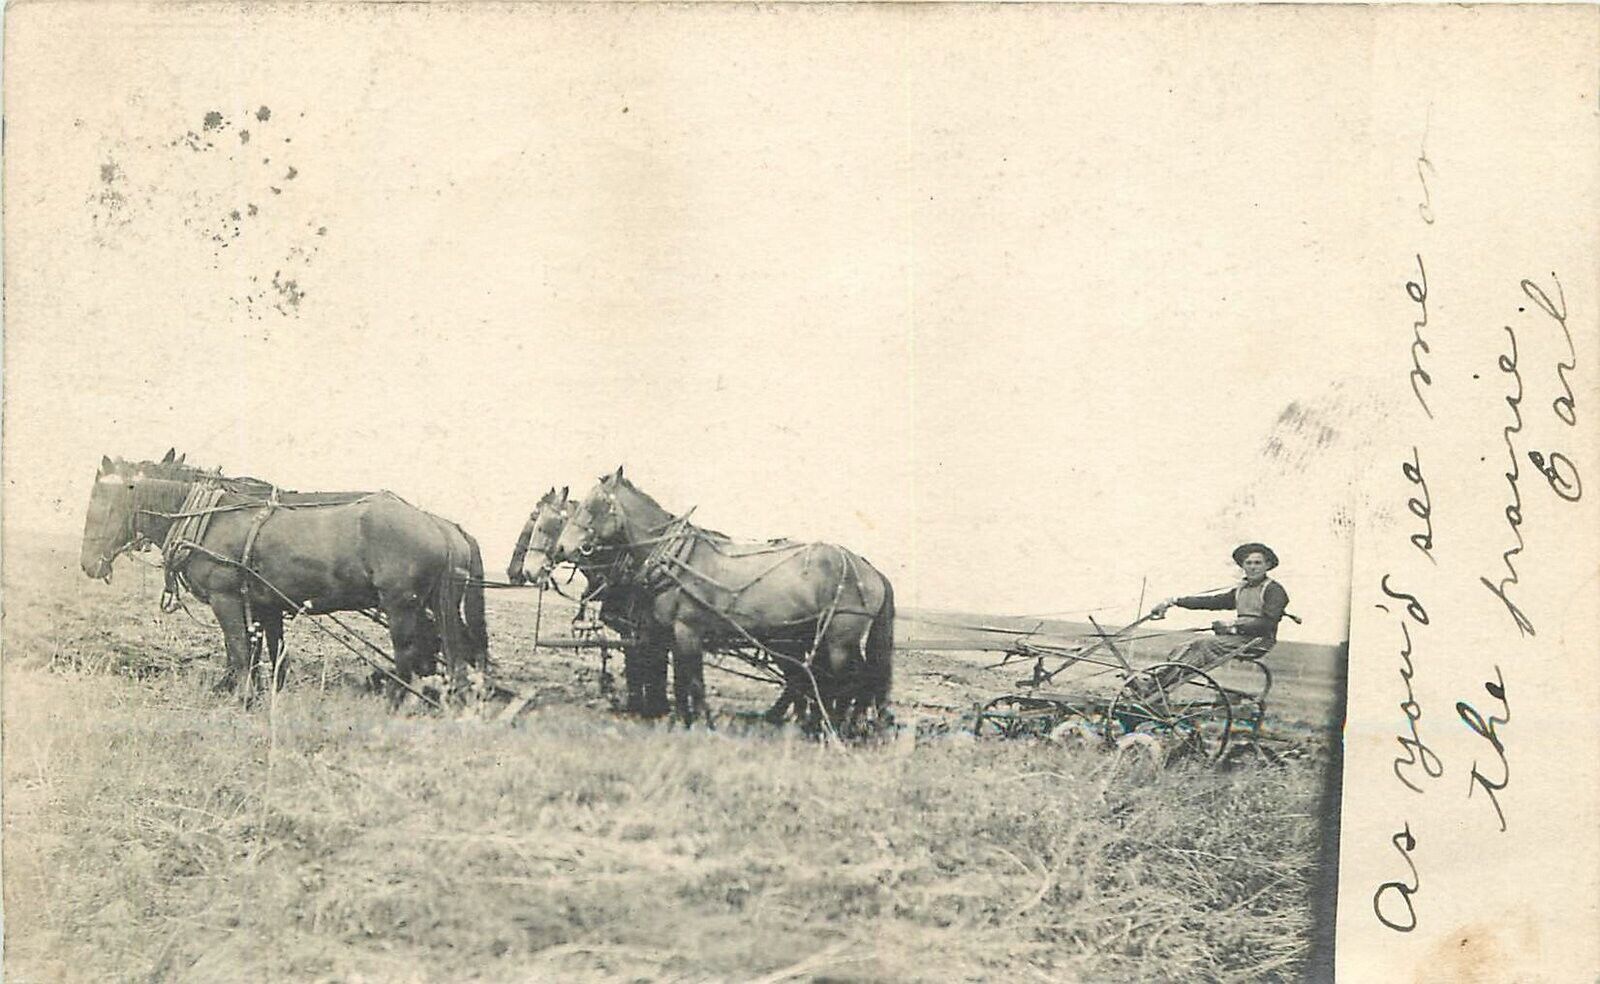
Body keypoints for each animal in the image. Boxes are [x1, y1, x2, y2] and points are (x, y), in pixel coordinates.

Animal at [80, 451, 488, 700]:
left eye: (99, 506)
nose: (88, 564)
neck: (209, 518)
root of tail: (442, 526)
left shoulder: (227, 598)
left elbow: (238, 647)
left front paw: (242, 695)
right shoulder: (264, 603)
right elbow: (267, 650)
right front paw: (261, 690)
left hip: (402, 606)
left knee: (410, 655)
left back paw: (399, 700)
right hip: (431, 608)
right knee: (447, 654)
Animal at [550, 467, 895, 732]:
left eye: (594, 505)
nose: (562, 548)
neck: (676, 560)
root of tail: (868, 568)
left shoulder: (688, 630)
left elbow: (694, 681)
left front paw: (703, 722)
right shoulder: (671, 634)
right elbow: (681, 680)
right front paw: (683, 721)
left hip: (839, 639)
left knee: (849, 681)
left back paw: (834, 728)